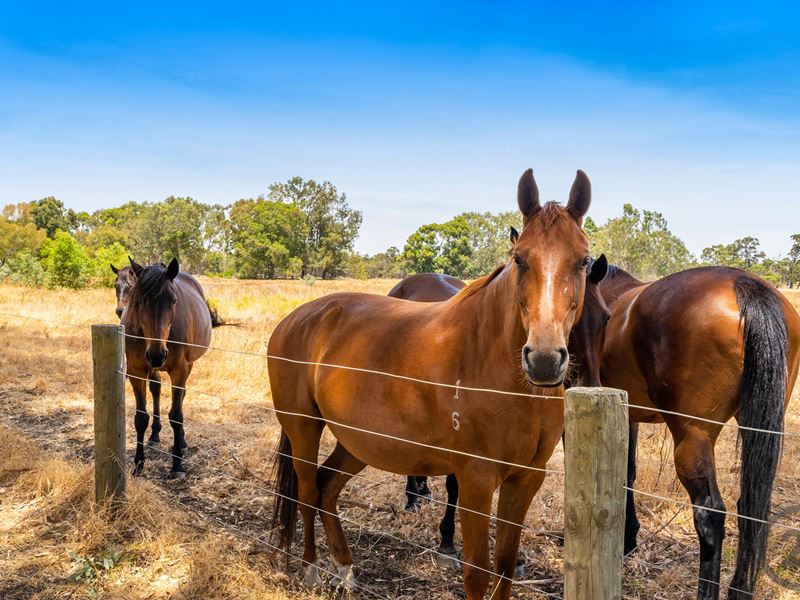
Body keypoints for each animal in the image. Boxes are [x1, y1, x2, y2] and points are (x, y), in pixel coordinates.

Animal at [390, 253, 608, 572]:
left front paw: (514, 556)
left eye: (606, 317)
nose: (590, 386)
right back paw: (411, 498)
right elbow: (455, 487)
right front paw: (447, 543)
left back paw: (422, 489)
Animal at [600, 264, 800, 596]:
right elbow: (627, 473)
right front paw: (628, 540)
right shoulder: (627, 414)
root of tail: (743, 283)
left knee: (710, 515)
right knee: (749, 505)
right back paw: (739, 591)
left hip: (693, 437)